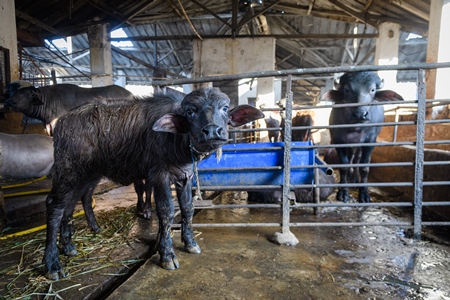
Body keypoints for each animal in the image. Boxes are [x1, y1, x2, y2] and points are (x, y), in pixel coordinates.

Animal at [42, 87, 264, 282]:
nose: (212, 131)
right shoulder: (160, 177)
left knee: (70, 204)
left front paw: (191, 243)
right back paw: (52, 265)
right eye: (190, 111)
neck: (177, 142)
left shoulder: (185, 177)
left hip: (86, 175)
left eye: (224, 108)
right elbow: (166, 211)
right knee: (55, 206)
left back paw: (69, 248)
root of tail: (60, 123)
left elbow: (188, 209)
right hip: (67, 171)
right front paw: (167, 255)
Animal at [322, 71, 402, 203]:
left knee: (357, 159)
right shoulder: (338, 140)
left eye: (372, 90)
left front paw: (364, 194)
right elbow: (343, 166)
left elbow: (364, 167)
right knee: (351, 158)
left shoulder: (370, 141)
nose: (360, 114)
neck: (354, 127)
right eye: (347, 90)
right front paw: (342, 192)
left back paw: (355, 180)